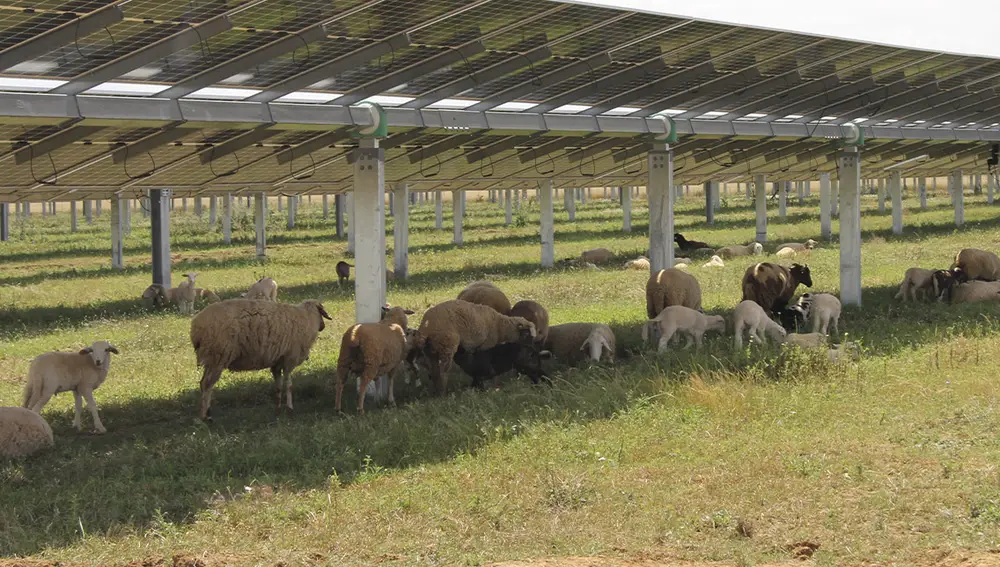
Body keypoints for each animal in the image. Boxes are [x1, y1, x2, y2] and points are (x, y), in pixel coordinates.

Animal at [190, 299, 333, 420]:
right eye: (321, 312)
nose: (323, 327)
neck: (307, 318)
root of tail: (195, 328)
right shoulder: (289, 359)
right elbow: (289, 385)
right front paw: (290, 410)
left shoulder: (277, 363)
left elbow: (278, 386)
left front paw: (278, 410)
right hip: (218, 357)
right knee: (207, 385)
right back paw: (206, 416)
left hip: (211, 360)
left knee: (203, 383)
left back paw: (206, 413)